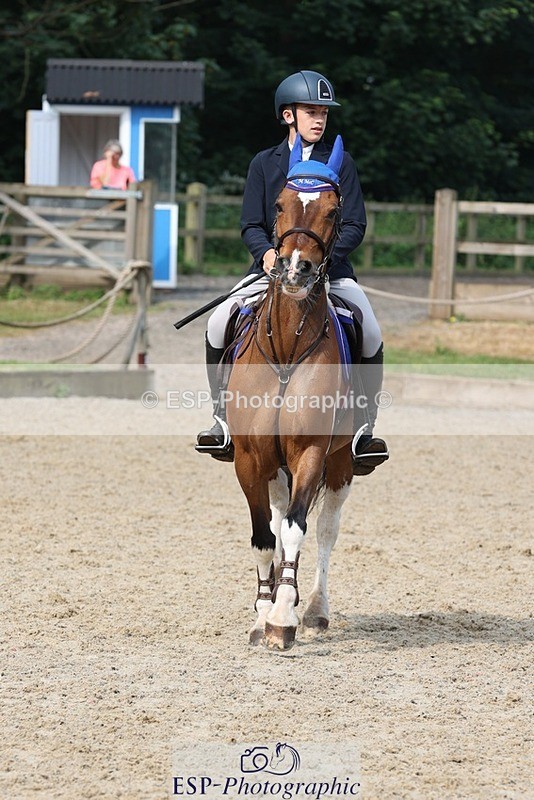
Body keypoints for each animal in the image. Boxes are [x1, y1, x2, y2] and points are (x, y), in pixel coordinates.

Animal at [225, 135, 358, 651]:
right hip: (274, 467)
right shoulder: (249, 457)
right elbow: (266, 536)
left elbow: (300, 529)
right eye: (279, 204)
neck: (286, 348)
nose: (296, 270)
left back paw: (314, 609)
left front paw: (283, 618)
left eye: (334, 210)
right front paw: (264, 613)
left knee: (324, 529)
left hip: (339, 463)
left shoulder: (311, 452)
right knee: (279, 522)